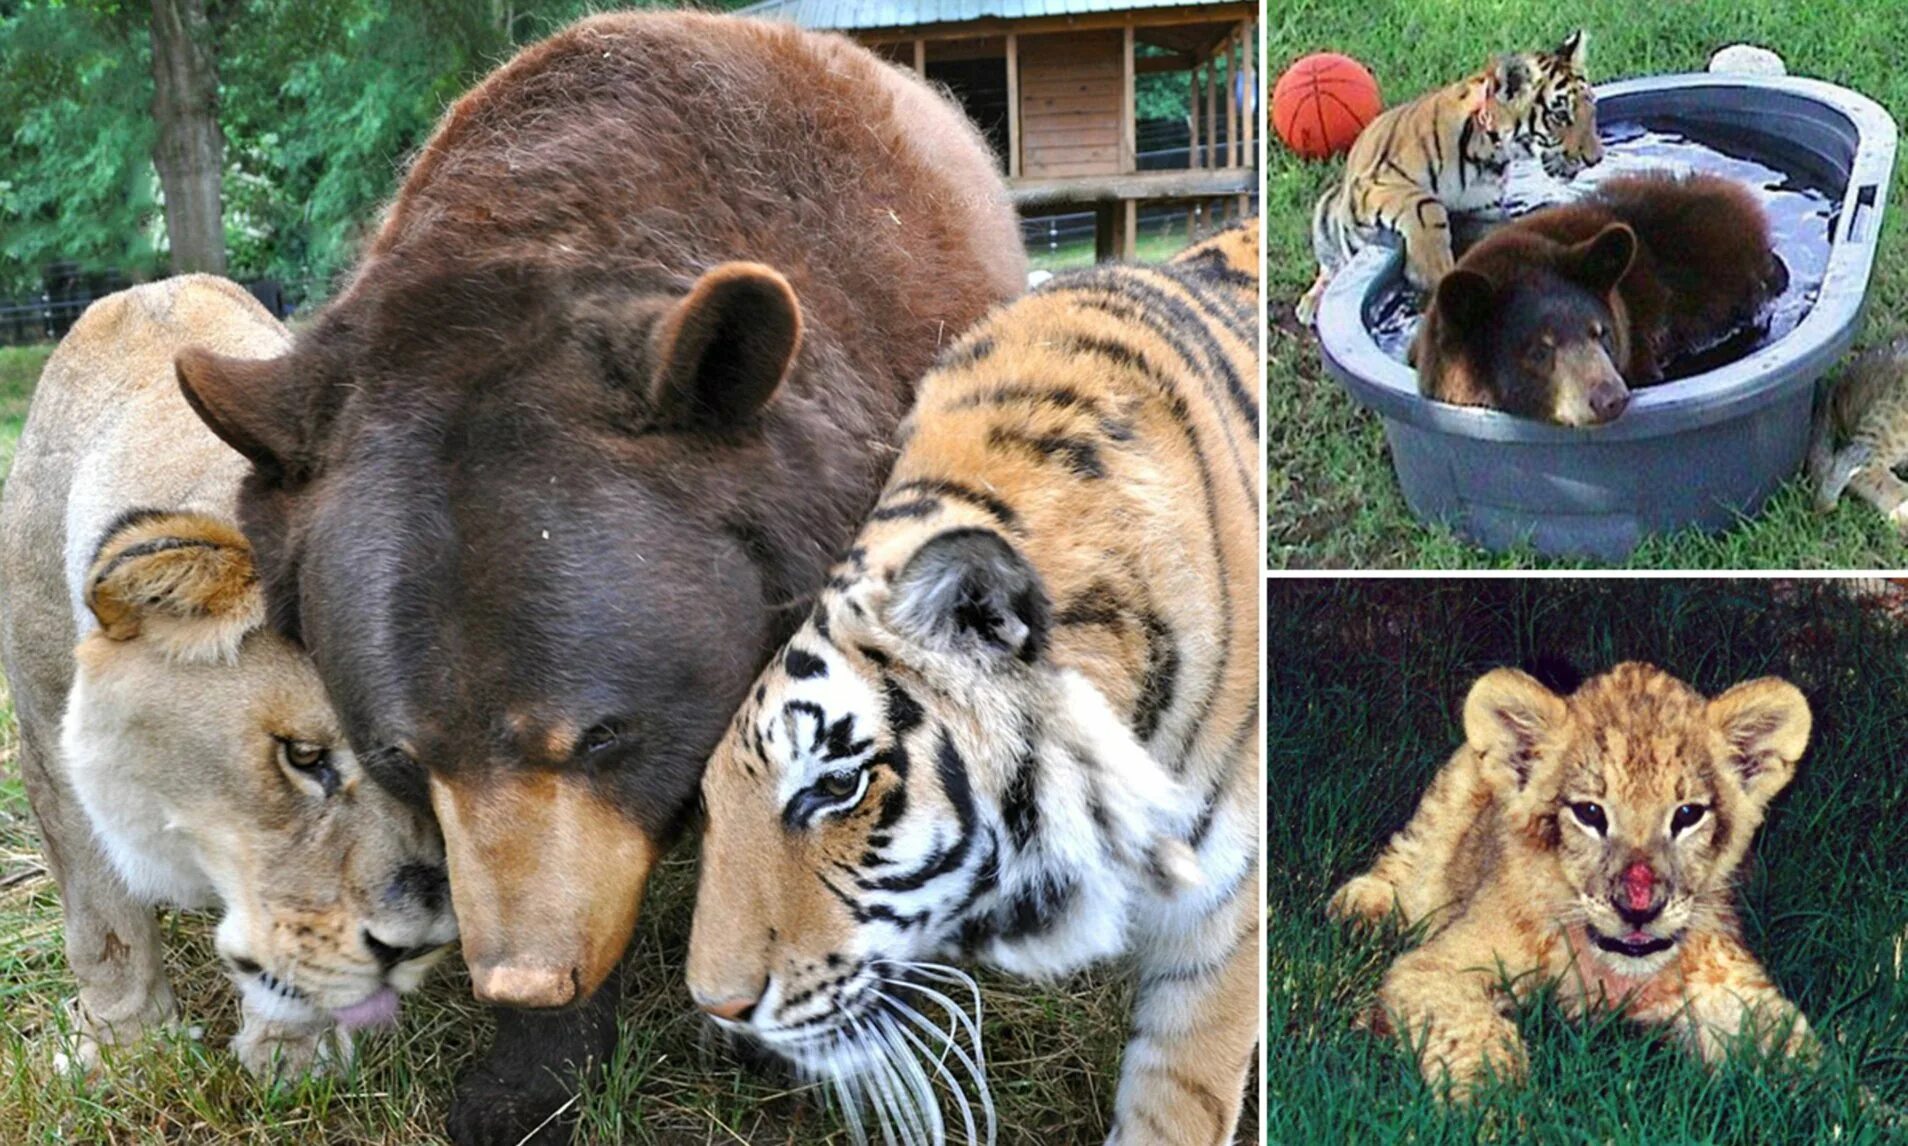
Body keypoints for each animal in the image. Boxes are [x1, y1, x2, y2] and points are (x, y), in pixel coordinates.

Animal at [1297, 31, 1595, 324]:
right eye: (1561, 116)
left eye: (1590, 112)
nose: (1595, 159)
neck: (1488, 153)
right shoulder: (1375, 182)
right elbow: (1424, 204)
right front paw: (1431, 269)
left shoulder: (1482, 213)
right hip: (1328, 211)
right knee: (1330, 266)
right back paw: (1310, 304)